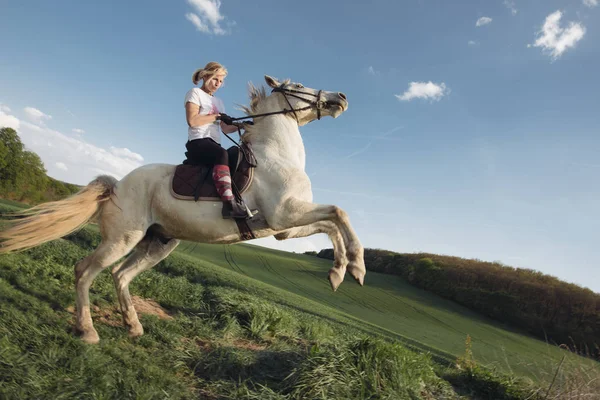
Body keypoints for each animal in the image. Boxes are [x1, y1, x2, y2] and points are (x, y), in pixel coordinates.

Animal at [0, 76, 366, 344]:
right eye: (299, 85)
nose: (342, 97)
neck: (274, 154)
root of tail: (117, 185)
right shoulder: (285, 215)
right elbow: (339, 213)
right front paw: (356, 267)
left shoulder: (284, 227)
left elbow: (332, 222)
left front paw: (339, 272)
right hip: (122, 239)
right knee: (85, 271)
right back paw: (87, 330)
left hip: (158, 243)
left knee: (120, 275)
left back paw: (133, 326)